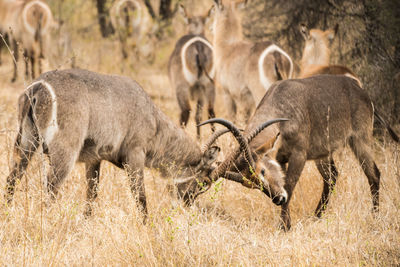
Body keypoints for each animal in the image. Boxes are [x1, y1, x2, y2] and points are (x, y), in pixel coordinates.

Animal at [3, 68, 288, 218]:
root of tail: (38, 87)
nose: (187, 203)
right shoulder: (135, 155)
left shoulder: (94, 159)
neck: (152, 119)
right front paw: (147, 227)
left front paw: (86, 222)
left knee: (12, 178)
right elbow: (140, 197)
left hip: (25, 143)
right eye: (204, 182)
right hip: (63, 151)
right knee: (51, 186)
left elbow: (91, 195)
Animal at [167, 4, 216, 138]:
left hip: (181, 87)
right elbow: (198, 117)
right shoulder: (200, 91)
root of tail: (198, 45)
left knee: (185, 111)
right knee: (210, 111)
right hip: (208, 85)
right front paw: (199, 139)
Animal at [203, 75, 400, 230]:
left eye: (262, 171)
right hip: (323, 154)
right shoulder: (281, 159)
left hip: (360, 140)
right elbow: (287, 186)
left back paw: (375, 216)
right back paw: (316, 217)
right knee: (332, 177)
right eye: (252, 184)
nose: (278, 199)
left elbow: (289, 186)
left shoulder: (299, 155)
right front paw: (287, 223)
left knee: (373, 174)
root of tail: (360, 90)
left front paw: (284, 227)